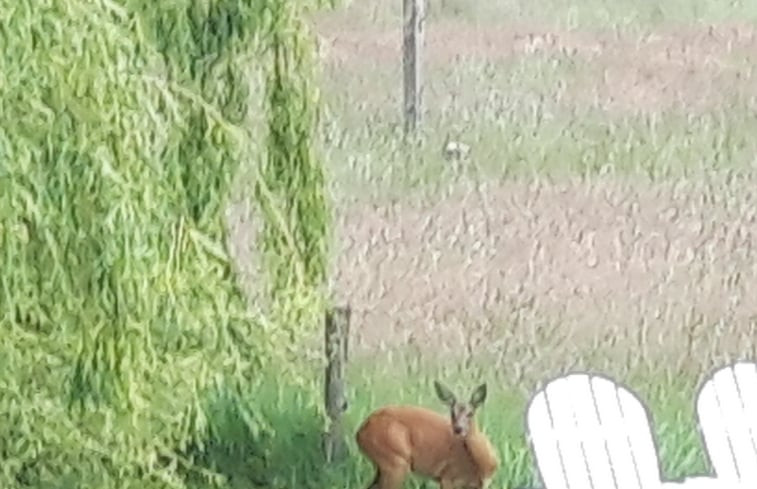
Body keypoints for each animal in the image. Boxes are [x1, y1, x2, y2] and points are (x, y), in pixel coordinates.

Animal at [358, 382, 500, 488]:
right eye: (452, 413)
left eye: (470, 413)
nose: (458, 429)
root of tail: (360, 432)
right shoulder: (448, 478)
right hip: (395, 461)